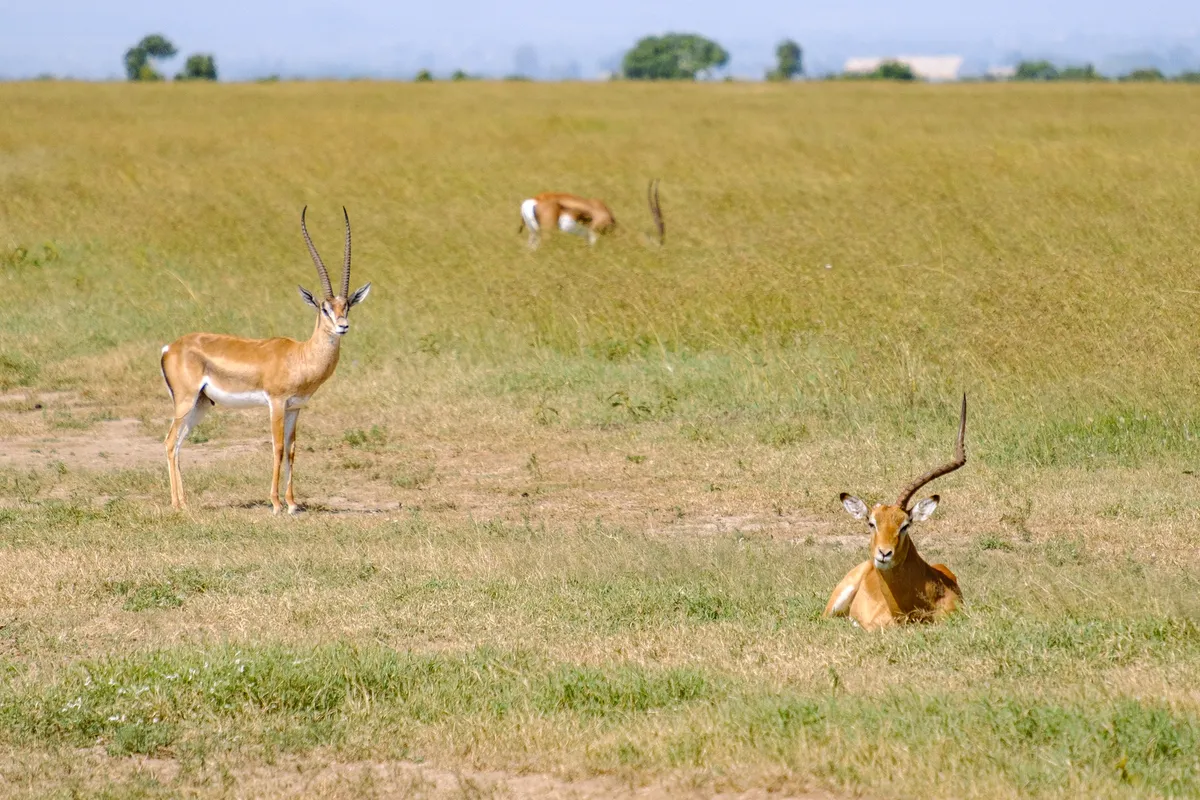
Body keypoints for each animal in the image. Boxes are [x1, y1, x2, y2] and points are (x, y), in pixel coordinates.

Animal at [158, 208, 369, 513]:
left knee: (177, 444)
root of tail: (169, 347)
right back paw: (177, 505)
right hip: (185, 401)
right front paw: (277, 504)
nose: (343, 326)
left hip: (200, 405)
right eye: (324, 308)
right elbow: (277, 448)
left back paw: (183, 503)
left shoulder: (295, 408)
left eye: (347, 306)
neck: (299, 356)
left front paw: (292, 504)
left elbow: (292, 450)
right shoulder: (276, 403)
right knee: (169, 441)